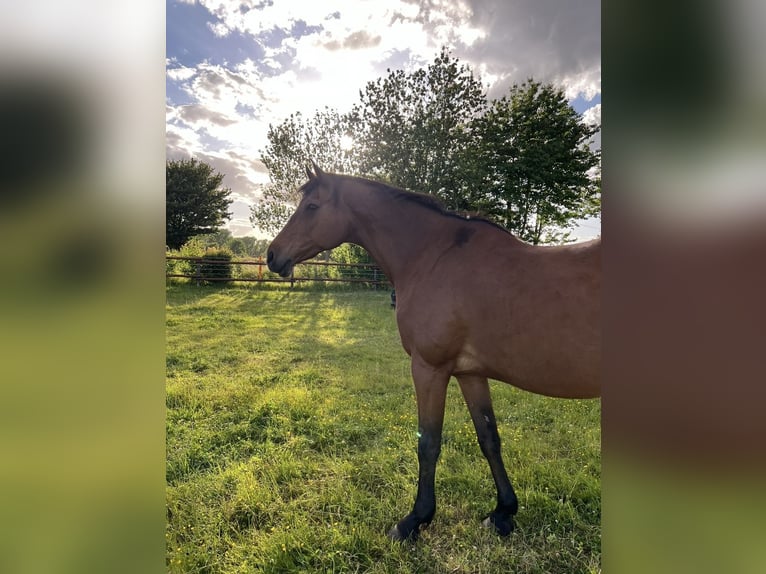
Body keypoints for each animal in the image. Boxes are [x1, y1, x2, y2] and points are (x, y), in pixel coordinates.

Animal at [267, 163, 601, 542]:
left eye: (311, 207)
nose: (272, 255)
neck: (433, 256)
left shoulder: (429, 368)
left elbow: (428, 443)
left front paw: (414, 519)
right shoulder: (470, 373)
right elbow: (489, 438)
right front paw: (503, 512)